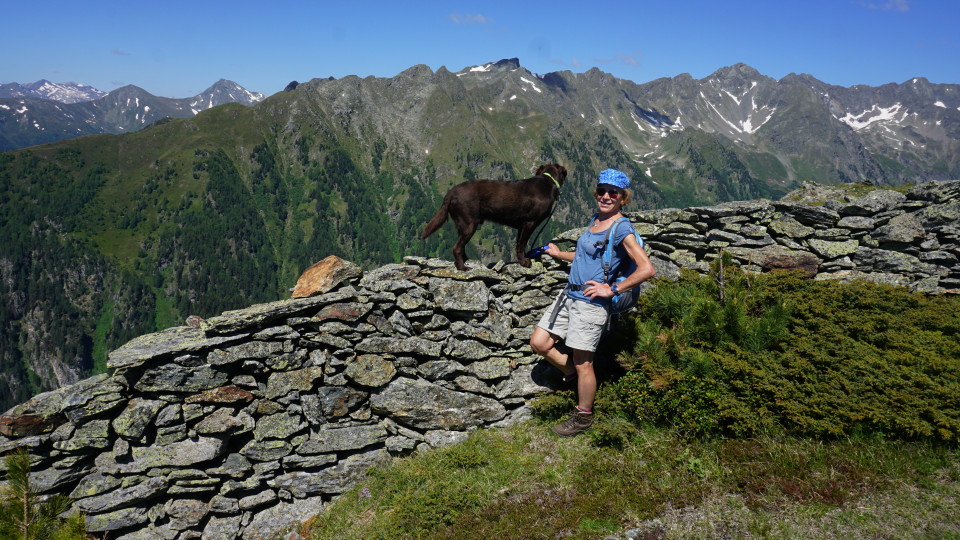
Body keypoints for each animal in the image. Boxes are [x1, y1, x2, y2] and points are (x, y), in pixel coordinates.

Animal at [420, 162, 564, 268]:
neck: (547, 180)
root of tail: (451, 192)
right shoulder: (529, 223)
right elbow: (522, 244)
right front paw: (524, 262)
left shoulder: (521, 226)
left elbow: (518, 244)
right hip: (469, 224)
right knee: (457, 248)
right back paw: (462, 268)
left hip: (463, 225)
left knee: (461, 246)